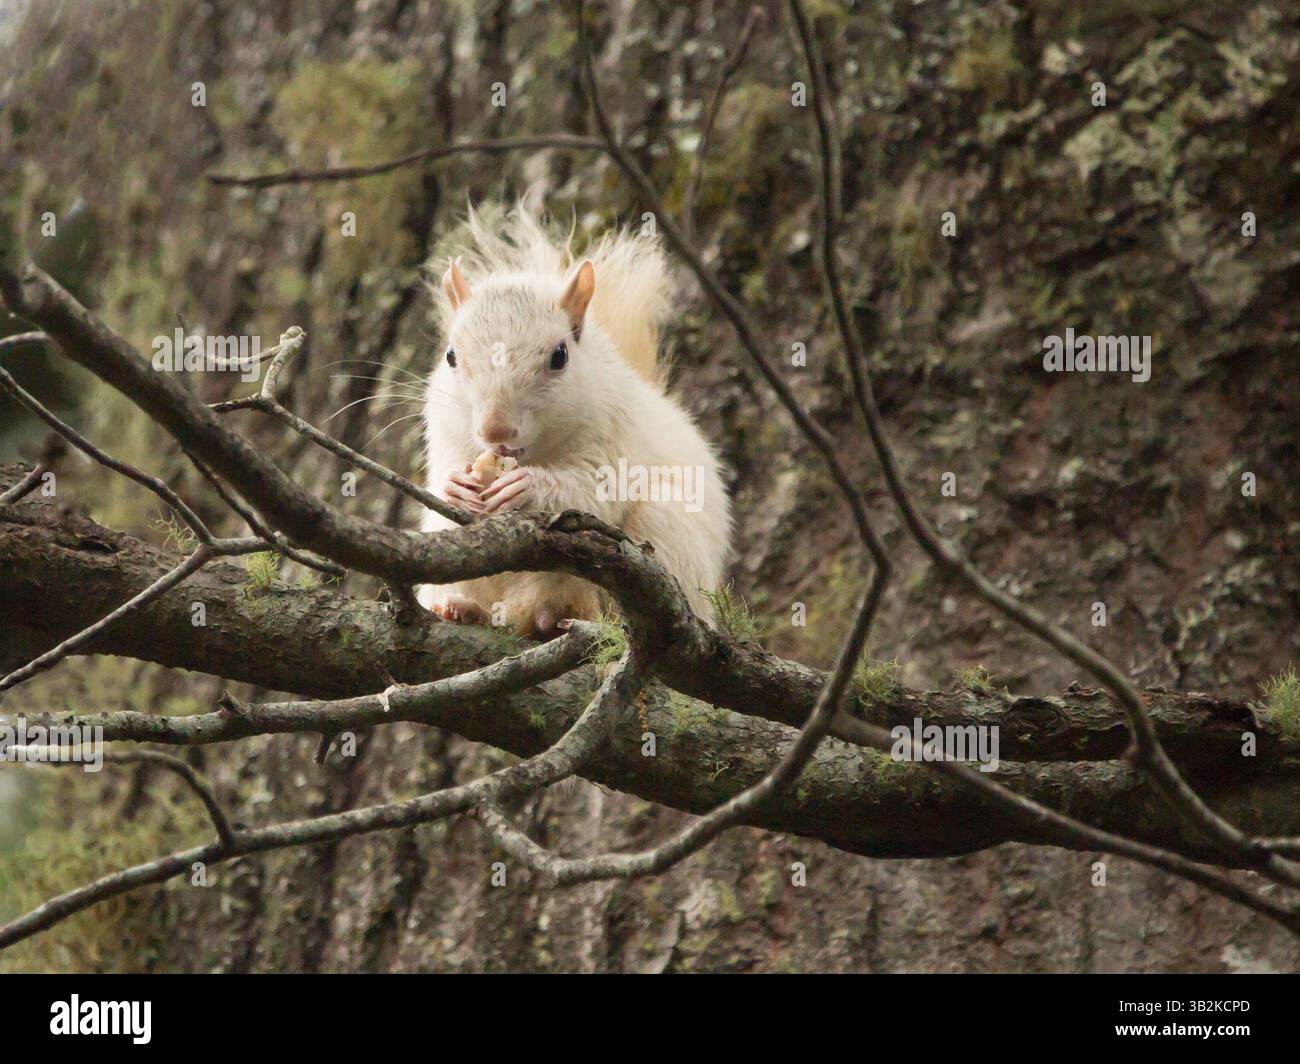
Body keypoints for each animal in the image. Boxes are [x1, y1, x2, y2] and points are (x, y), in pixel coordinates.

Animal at [417, 207, 732, 638]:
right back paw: (462, 608)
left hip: (665, 527)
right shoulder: (446, 430)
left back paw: (562, 618)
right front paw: (455, 485)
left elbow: (593, 489)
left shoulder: (615, 435)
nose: (494, 431)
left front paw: (526, 487)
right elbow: (439, 480)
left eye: (559, 356)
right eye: (450, 355)